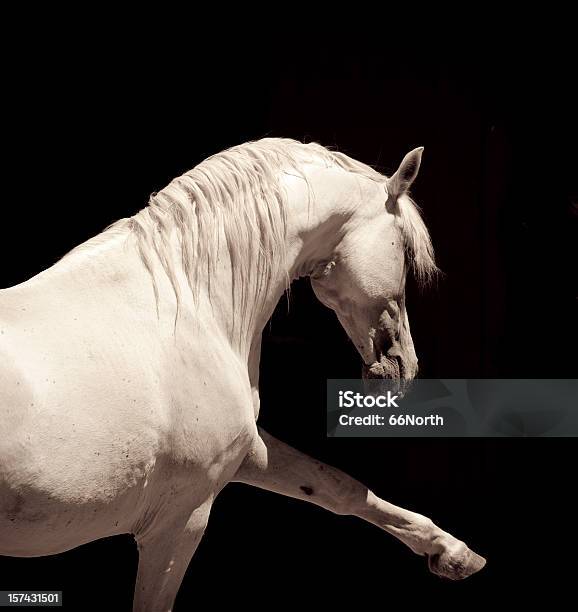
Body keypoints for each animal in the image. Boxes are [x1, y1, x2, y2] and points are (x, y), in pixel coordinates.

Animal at [0, 140, 484, 612]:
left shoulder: (244, 452)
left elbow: (338, 487)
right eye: (403, 248)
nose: (405, 366)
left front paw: (453, 553)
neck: (185, 305)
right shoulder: (179, 521)